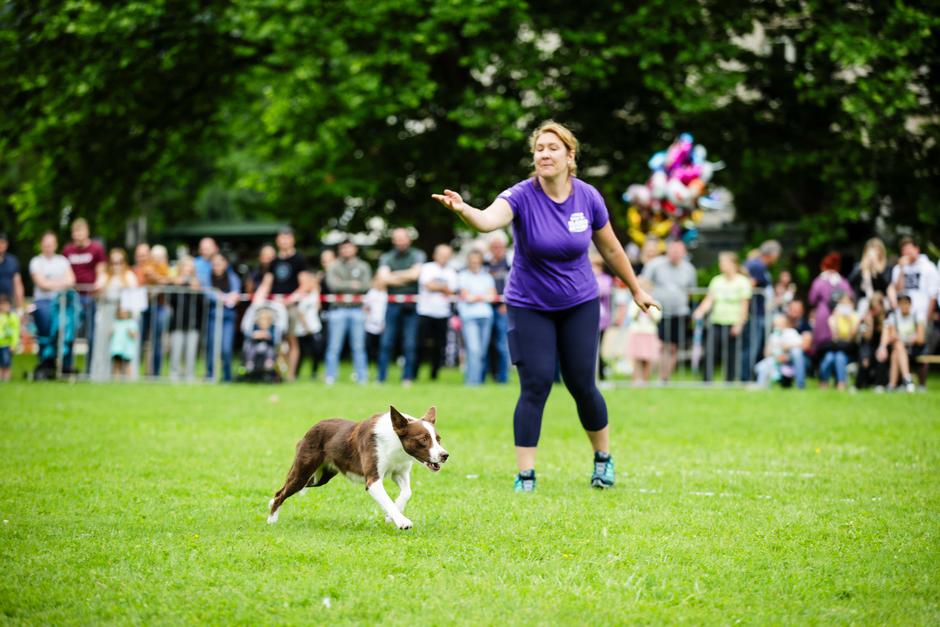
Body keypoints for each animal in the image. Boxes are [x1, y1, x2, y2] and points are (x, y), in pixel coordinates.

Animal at [268, 408, 448, 528]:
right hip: (303, 472)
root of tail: (313, 427)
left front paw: (391, 516)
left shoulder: (399, 472)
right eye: (423, 439)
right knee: (281, 494)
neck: (396, 442)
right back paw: (271, 520)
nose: (445, 455)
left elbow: (406, 493)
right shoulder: (373, 480)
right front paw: (402, 521)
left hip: (320, 478)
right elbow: (387, 500)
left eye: (438, 439)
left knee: (281, 491)